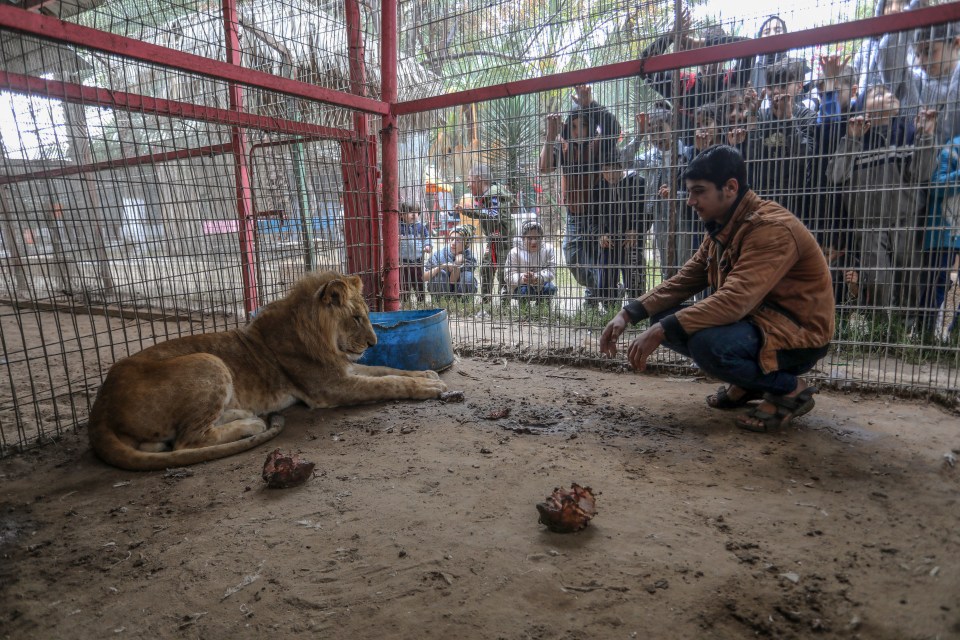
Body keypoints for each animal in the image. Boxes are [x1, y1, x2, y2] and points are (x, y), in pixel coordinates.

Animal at [88, 270, 448, 470]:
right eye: (357, 318)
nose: (374, 342)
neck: (320, 338)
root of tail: (99, 408)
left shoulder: (344, 371)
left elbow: (386, 369)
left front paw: (425, 376)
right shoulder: (331, 388)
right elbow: (387, 382)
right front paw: (427, 388)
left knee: (166, 442)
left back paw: (243, 415)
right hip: (209, 362)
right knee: (186, 442)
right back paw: (251, 425)